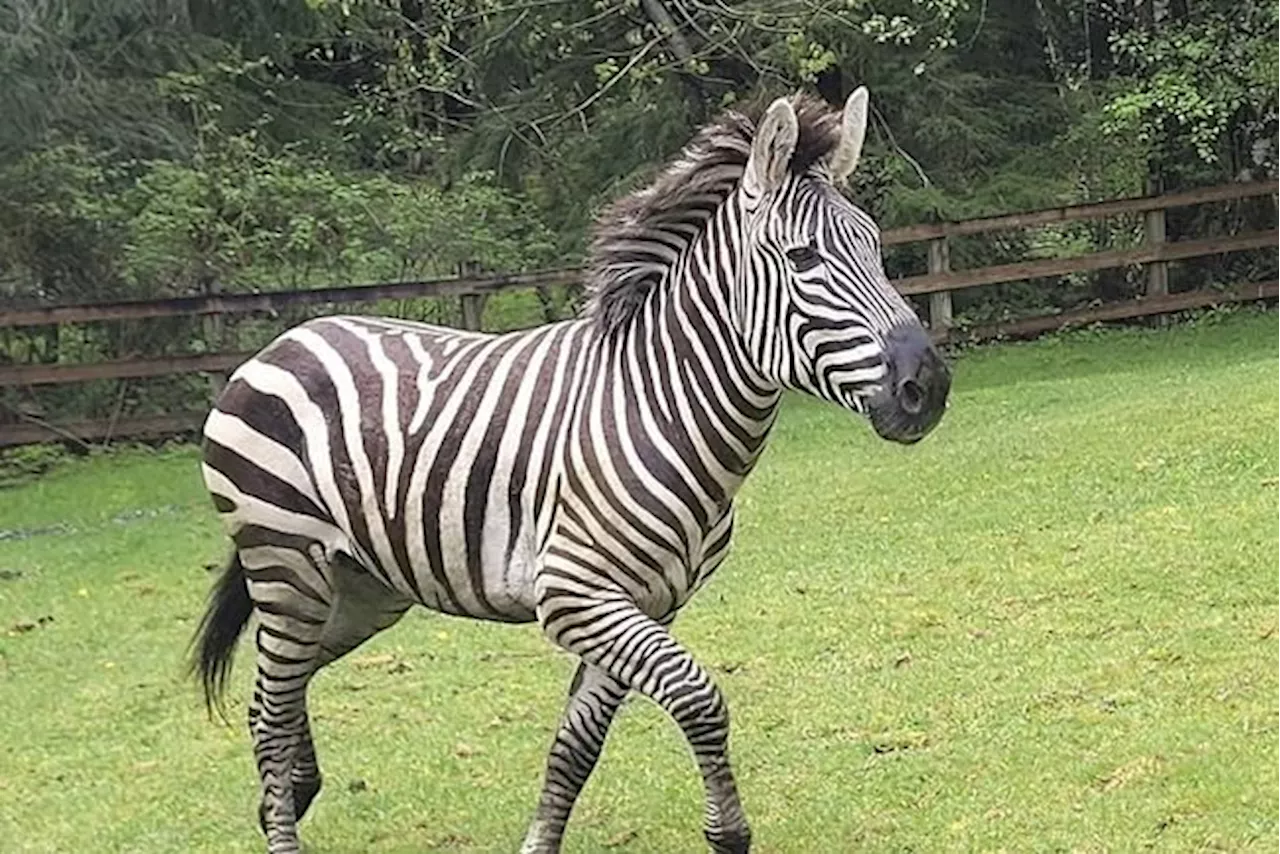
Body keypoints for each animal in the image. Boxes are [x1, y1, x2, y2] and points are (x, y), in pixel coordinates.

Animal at [189, 88, 952, 854]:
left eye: (876, 248)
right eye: (802, 258)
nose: (929, 386)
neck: (660, 407)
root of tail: (283, 341)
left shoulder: (648, 603)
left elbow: (576, 746)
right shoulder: (574, 594)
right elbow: (698, 694)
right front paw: (728, 832)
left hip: (361, 587)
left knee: (276, 691)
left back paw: (292, 791)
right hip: (287, 563)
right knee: (271, 708)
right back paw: (283, 817)